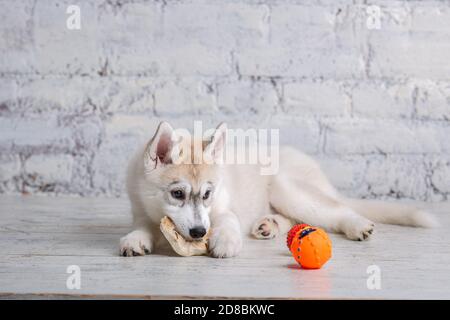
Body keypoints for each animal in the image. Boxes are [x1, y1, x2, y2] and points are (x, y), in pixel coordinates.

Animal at [119, 122, 436, 258]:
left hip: (287, 188)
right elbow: (142, 226)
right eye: (177, 194)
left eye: (207, 195)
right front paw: (135, 240)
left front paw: (226, 241)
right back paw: (267, 225)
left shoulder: (222, 207)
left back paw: (357, 226)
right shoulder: (140, 209)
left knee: (336, 211)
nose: (198, 233)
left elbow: (226, 220)